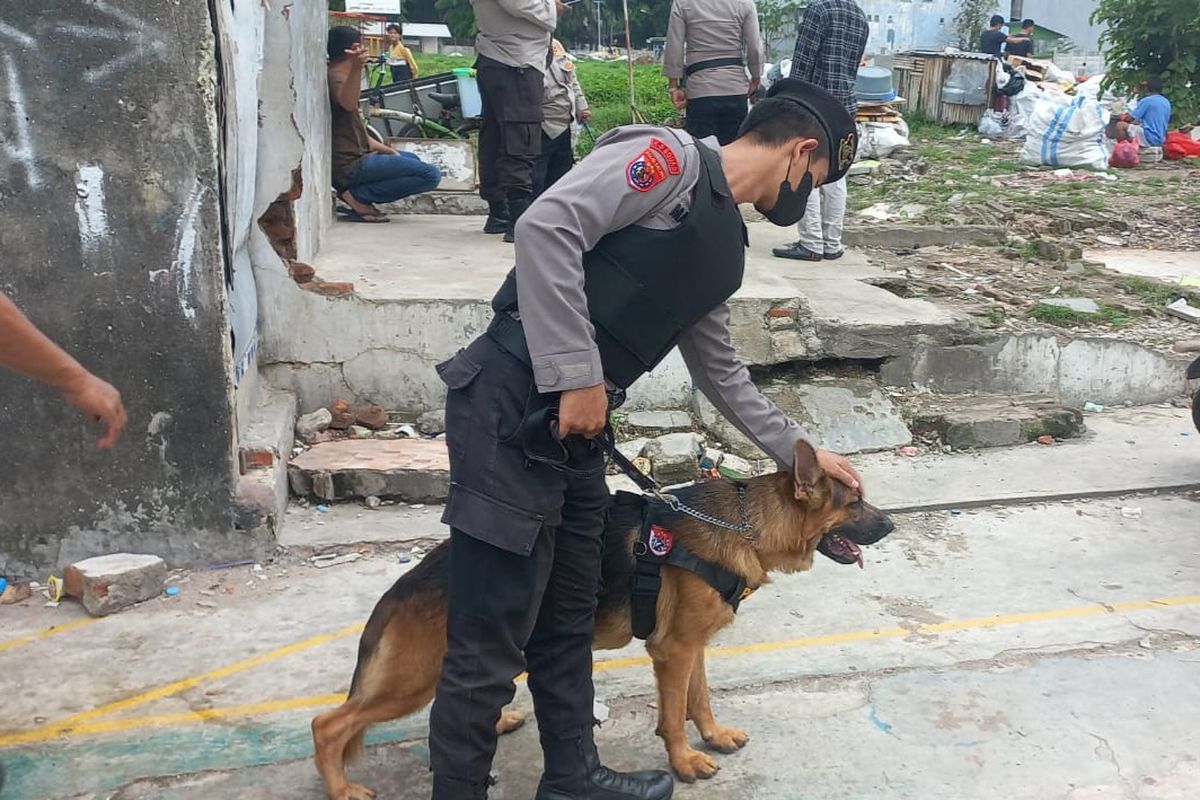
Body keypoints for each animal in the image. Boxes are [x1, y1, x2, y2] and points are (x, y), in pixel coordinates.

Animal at [309, 441, 892, 796]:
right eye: (854, 503)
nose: (889, 524)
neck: (747, 524)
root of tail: (405, 583)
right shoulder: (673, 651)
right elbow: (674, 713)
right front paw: (684, 762)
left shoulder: (693, 647)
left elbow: (699, 699)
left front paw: (712, 736)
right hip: (411, 680)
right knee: (328, 725)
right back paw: (342, 788)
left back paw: (497, 721)